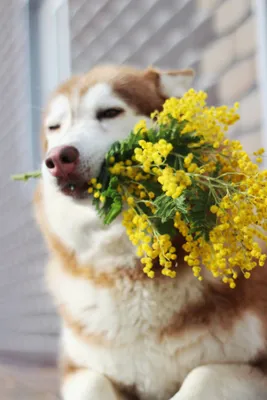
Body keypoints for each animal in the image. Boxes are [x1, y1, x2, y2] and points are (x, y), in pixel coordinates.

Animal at [34, 64, 267, 398]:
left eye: (110, 112)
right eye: (54, 127)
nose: (58, 158)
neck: (129, 268)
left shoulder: (252, 364)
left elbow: (202, 376)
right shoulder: (77, 369)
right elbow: (93, 384)